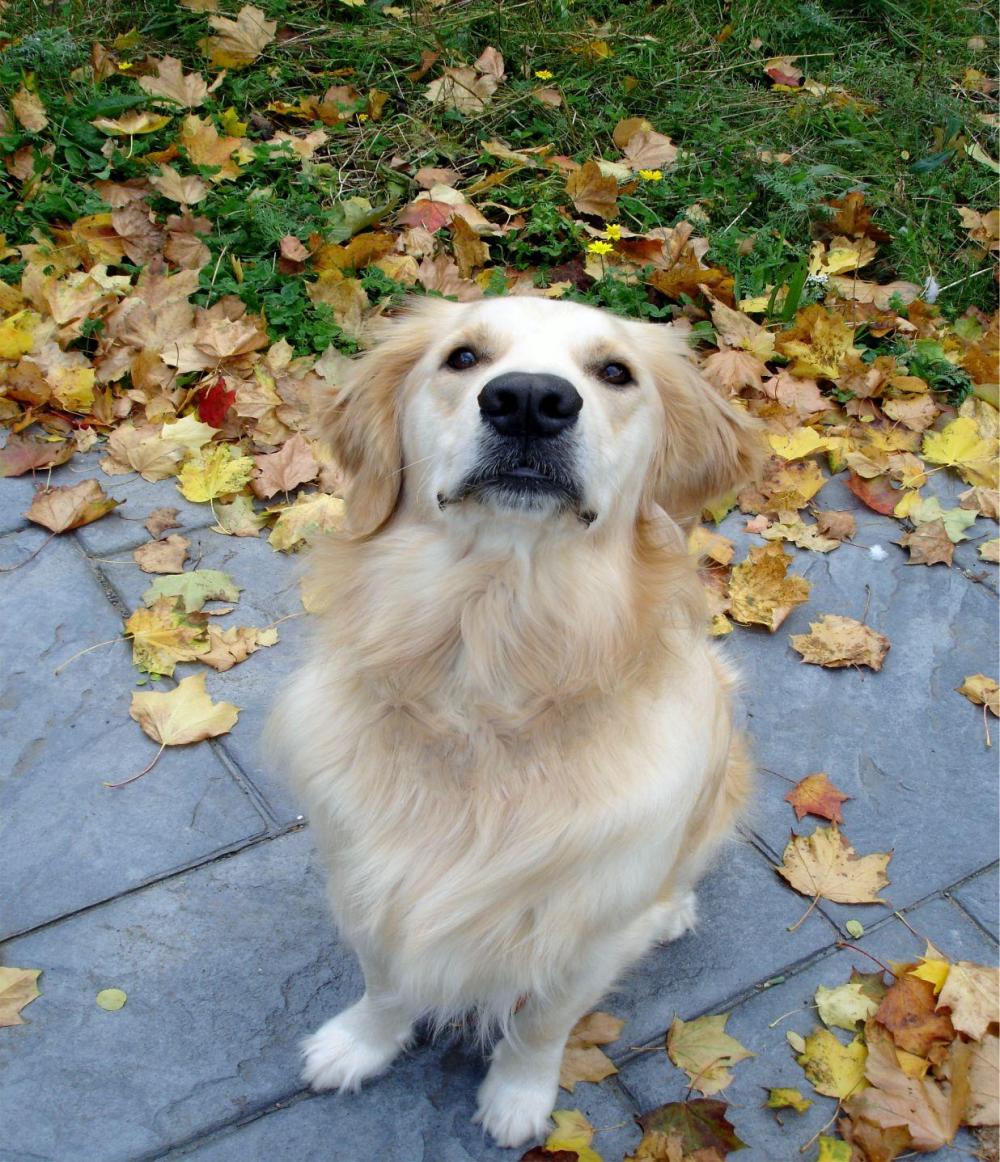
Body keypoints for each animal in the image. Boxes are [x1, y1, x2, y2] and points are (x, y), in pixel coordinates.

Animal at [269, 295, 761, 1148]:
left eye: (614, 372)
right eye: (463, 358)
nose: (529, 400)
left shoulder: (587, 934)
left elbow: (541, 1025)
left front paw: (518, 1098)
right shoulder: (368, 881)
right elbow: (386, 983)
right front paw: (360, 1044)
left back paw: (671, 910)